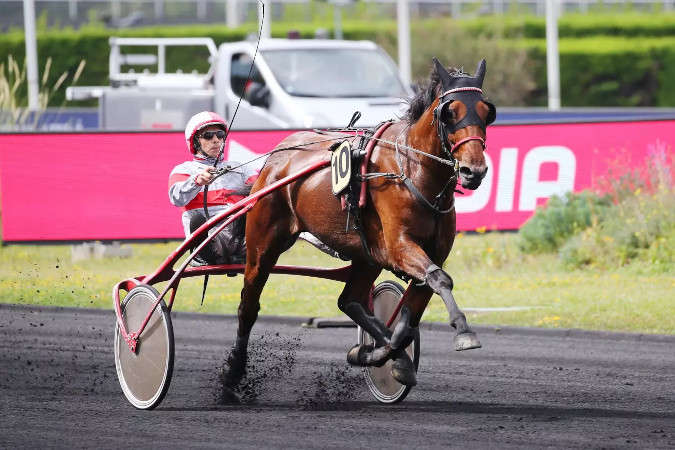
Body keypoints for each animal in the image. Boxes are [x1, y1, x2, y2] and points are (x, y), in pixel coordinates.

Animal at [225, 58, 496, 390]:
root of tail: (276, 158)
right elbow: (440, 279)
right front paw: (464, 332)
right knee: (248, 304)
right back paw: (234, 369)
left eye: (487, 111)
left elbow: (414, 307)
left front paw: (382, 355)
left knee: (350, 300)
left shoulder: (430, 252)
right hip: (263, 244)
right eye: (450, 112)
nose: (474, 170)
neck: (413, 170)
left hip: (367, 255)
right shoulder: (399, 247)